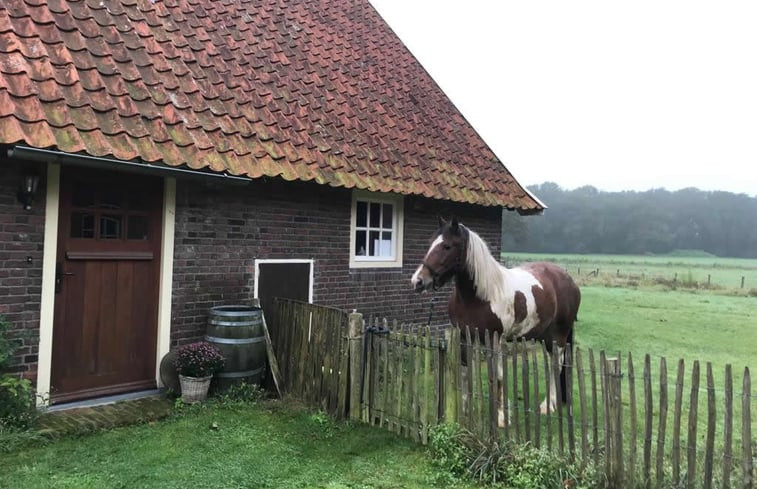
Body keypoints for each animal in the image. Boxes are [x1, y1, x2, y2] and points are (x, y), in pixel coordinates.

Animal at [414, 216, 580, 416]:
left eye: (447, 246)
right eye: (431, 243)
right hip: (545, 336)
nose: (418, 281)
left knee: (557, 364)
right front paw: (465, 411)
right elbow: (465, 372)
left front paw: (501, 415)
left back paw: (548, 406)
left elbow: (498, 376)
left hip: (558, 336)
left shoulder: (494, 340)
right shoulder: (463, 337)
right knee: (551, 365)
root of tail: (569, 280)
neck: (480, 296)